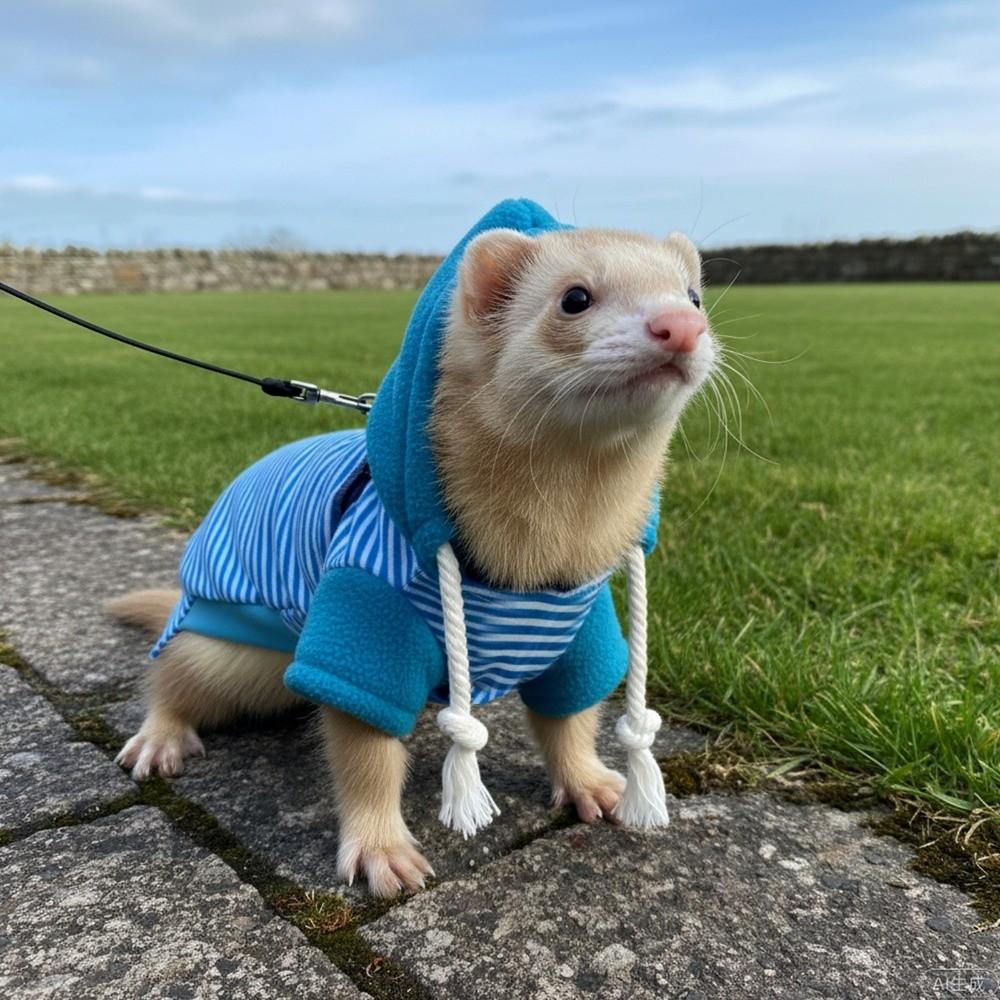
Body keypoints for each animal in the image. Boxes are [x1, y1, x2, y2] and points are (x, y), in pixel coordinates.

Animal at [107, 226, 715, 897]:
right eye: (574, 297)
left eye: (693, 293)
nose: (680, 325)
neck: (536, 560)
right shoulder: (365, 621)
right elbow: (366, 755)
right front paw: (382, 851)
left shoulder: (582, 628)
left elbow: (572, 717)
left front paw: (595, 785)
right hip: (233, 654)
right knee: (170, 675)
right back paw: (158, 740)